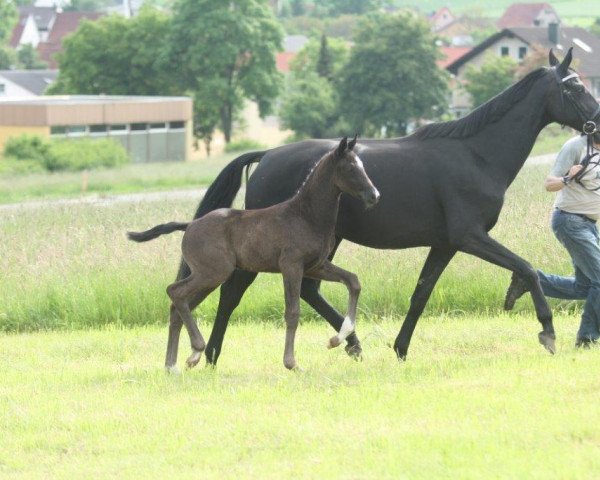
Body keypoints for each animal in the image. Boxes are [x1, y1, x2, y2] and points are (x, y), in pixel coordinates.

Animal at [127, 136, 380, 372]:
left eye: (362, 165)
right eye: (349, 168)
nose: (374, 195)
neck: (306, 215)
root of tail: (189, 225)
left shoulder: (316, 265)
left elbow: (353, 282)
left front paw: (336, 339)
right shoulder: (291, 266)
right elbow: (292, 312)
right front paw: (292, 363)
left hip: (208, 277)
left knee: (178, 305)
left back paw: (173, 365)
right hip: (213, 273)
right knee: (175, 292)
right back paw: (195, 351)